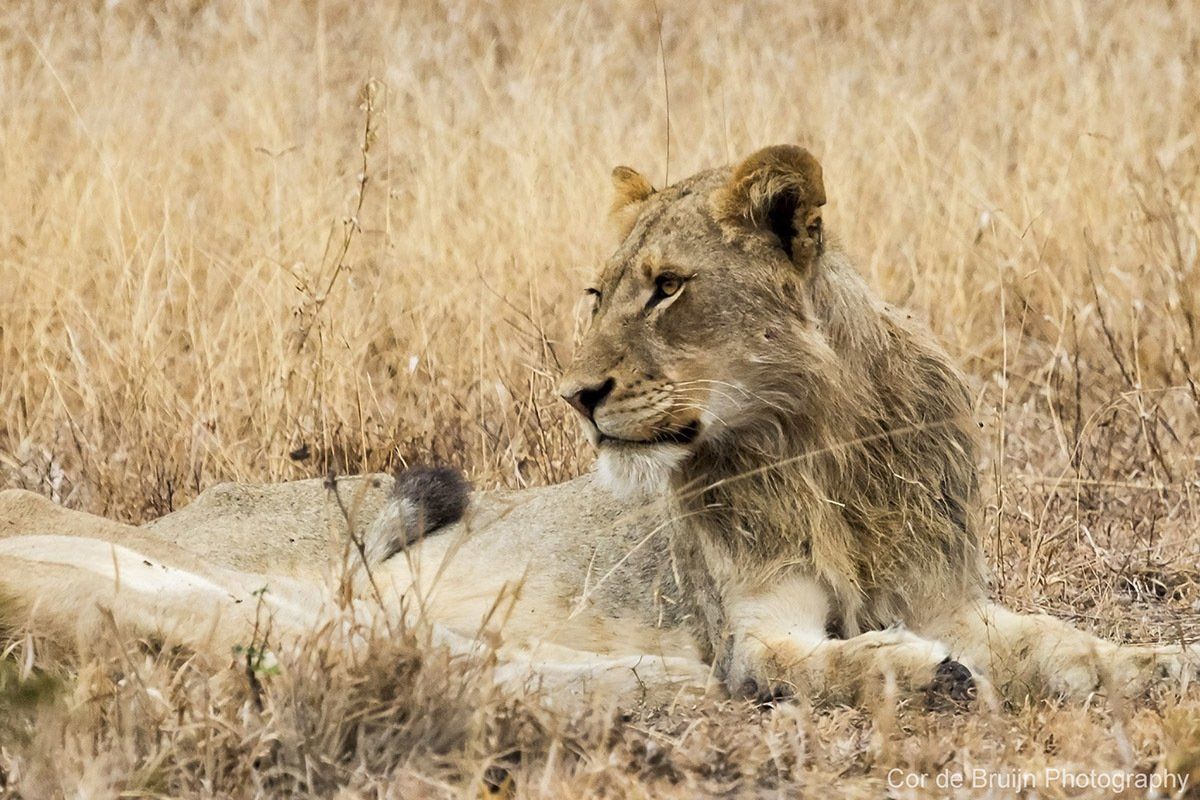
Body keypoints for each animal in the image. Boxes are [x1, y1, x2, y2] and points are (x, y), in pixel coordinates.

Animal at [1, 145, 1196, 710]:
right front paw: (917, 675)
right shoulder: (753, 621)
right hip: (176, 575)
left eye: (667, 288)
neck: (812, 436)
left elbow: (1064, 645)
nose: (576, 396)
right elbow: (801, 662)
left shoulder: (948, 593)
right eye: (598, 290)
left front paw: (1159, 666)